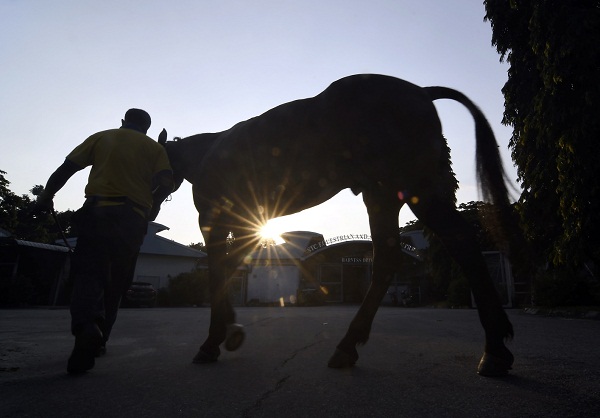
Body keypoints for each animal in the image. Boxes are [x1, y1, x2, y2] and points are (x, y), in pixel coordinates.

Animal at [159, 73, 516, 378]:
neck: (207, 153)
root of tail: (422, 92)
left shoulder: (213, 221)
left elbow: (218, 271)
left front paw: (214, 340)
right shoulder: (243, 223)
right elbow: (230, 267)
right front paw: (229, 329)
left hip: (401, 191)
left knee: (433, 247)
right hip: (397, 195)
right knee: (420, 251)